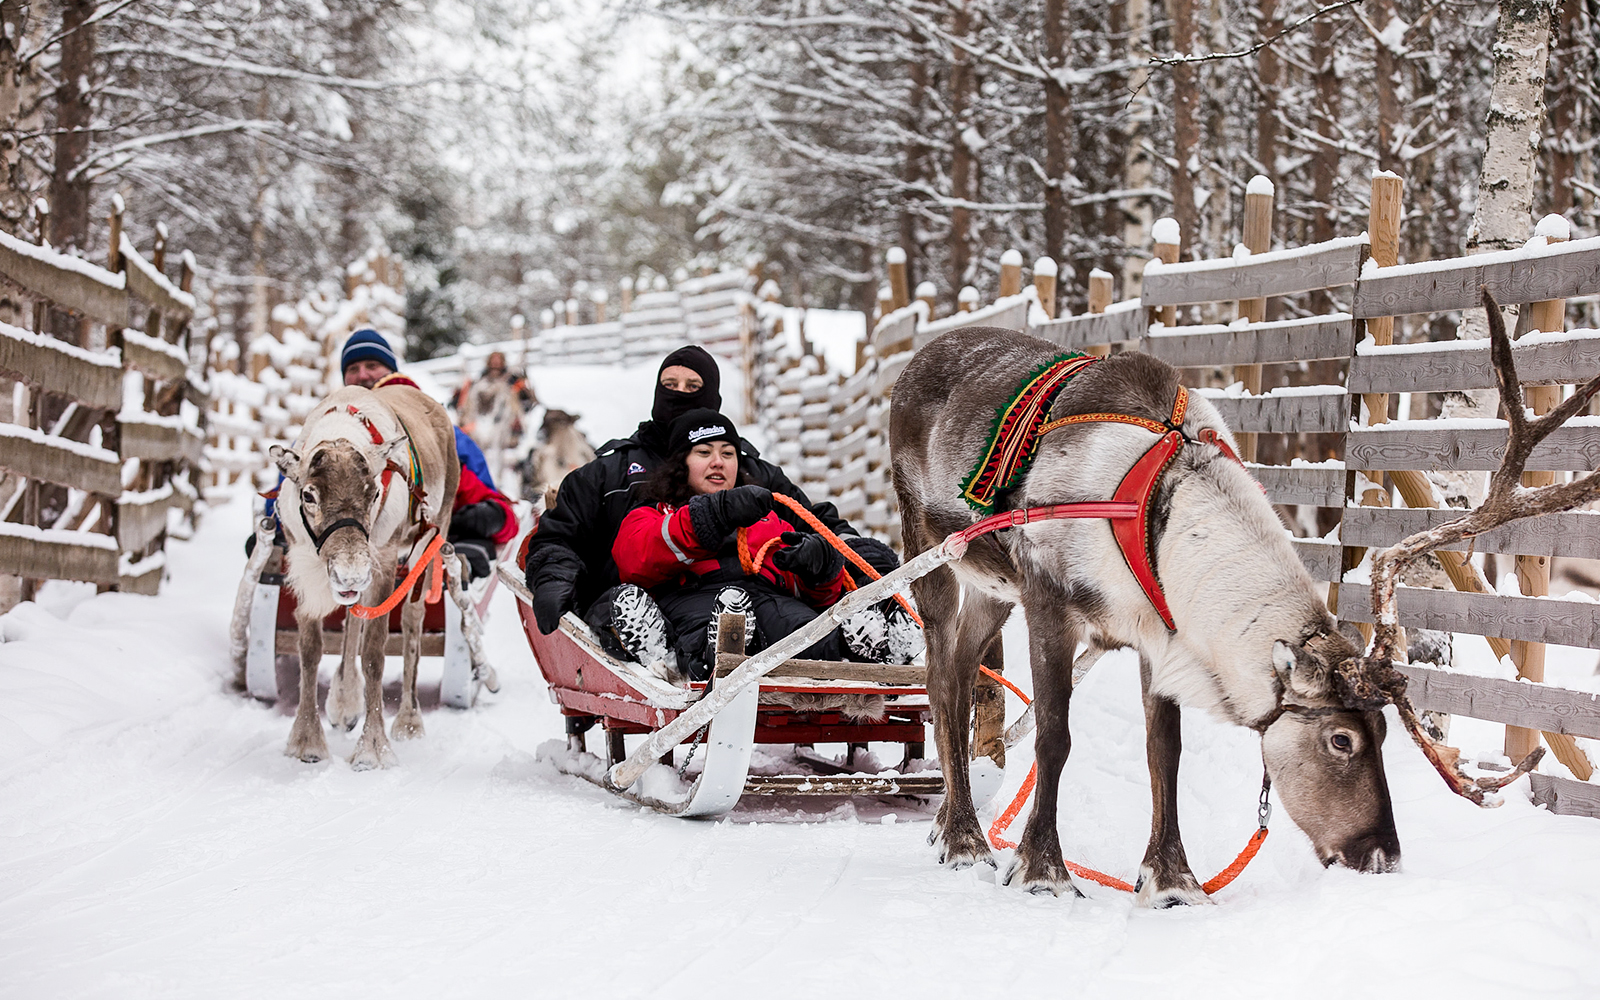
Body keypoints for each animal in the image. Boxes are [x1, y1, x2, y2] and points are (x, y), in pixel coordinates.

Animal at [270, 384, 459, 769]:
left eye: (373, 493)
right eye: (308, 494)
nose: (351, 575)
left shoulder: (383, 560)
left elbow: (374, 654)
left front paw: (373, 748)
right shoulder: (304, 565)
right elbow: (310, 649)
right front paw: (307, 740)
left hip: (432, 537)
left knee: (412, 622)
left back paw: (409, 720)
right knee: (351, 621)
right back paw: (344, 701)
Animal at [888, 293, 1561, 906]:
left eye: (1384, 730)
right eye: (1341, 739)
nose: (1381, 857)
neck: (1158, 512)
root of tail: (920, 354)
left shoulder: (1158, 633)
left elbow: (1165, 754)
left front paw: (1173, 881)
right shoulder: (1050, 600)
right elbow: (1055, 738)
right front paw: (1042, 872)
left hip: (993, 588)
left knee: (958, 667)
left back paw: (950, 826)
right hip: (928, 544)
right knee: (941, 679)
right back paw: (965, 839)